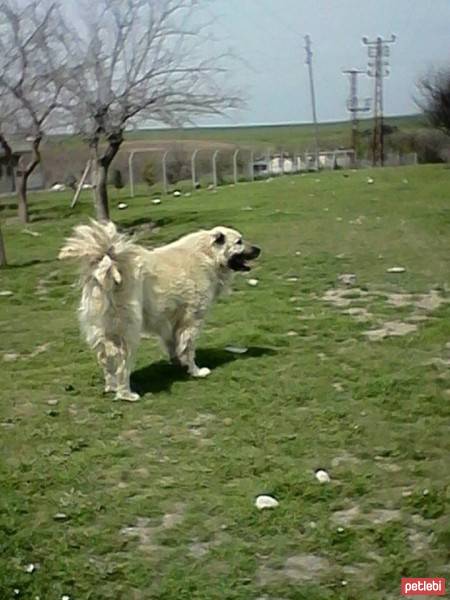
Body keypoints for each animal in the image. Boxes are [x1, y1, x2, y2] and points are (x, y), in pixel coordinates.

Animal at [59, 219, 260, 398]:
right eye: (239, 241)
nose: (259, 249)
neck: (207, 255)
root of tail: (107, 263)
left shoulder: (170, 320)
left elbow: (174, 345)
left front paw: (178, 364)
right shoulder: (191, 319)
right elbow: (188, 348)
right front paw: (195, 371)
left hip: (102, 331)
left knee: (105, 359)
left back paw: (111, 386)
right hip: (127, 330)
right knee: (121, 361)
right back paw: (126, 394)